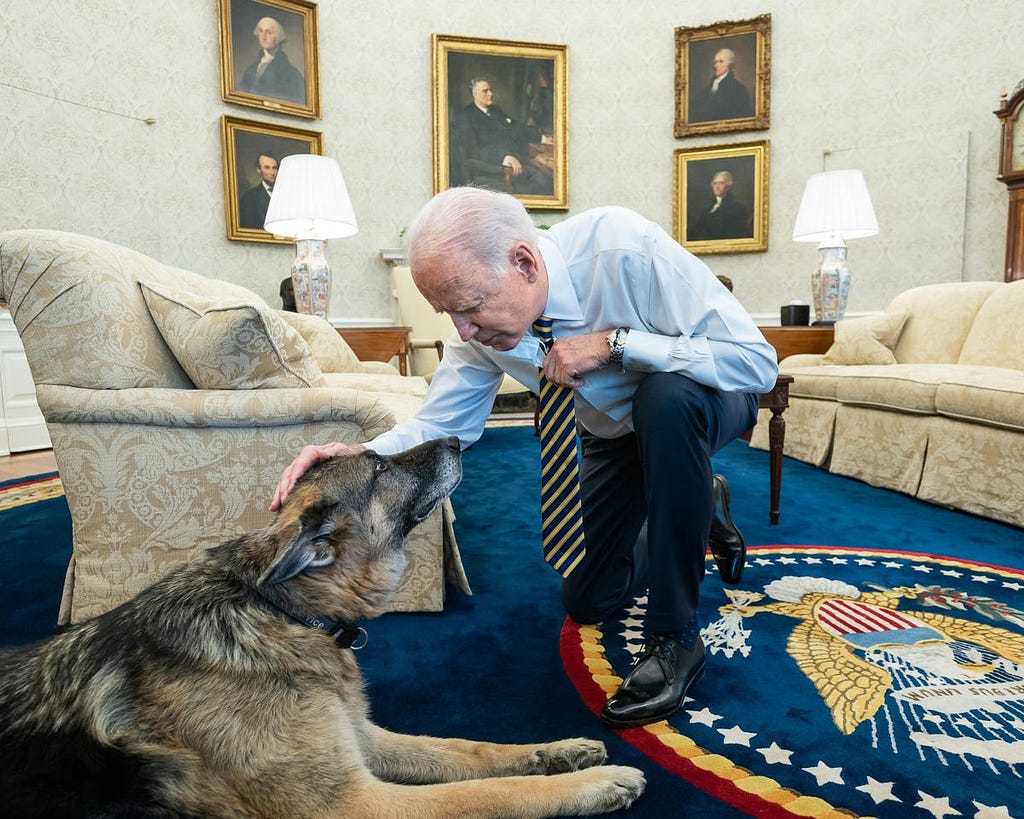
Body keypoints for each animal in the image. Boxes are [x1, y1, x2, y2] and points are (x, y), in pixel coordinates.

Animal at [0, 442, 638, 818]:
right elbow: (483, 792)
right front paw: (591, 785)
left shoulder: (362, 738)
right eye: (379, 466)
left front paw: (557, 752)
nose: (457, 440)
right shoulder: (354, 803)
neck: (279, 612)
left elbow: (469, 750)